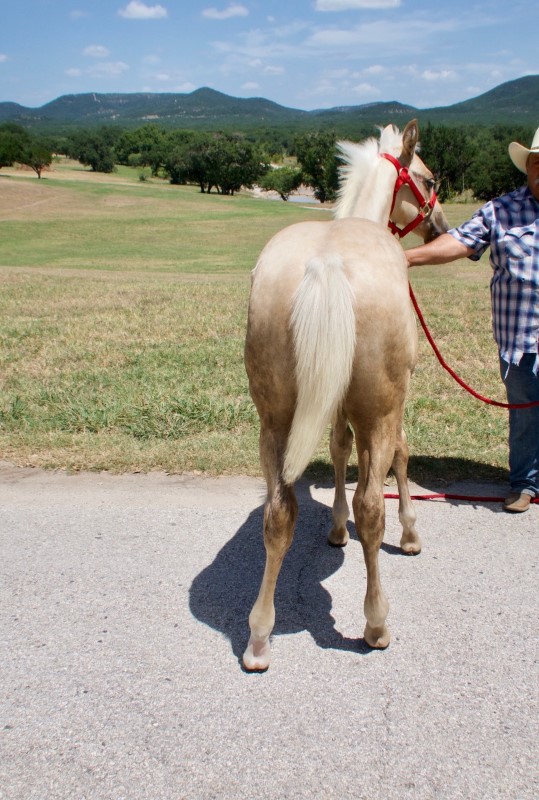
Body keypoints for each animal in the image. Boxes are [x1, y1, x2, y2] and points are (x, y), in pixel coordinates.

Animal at [243, 120, 450, 668]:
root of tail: (327, 262)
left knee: (279, 513)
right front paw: (411, 531)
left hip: (274, 421)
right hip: (379, 410)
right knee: (371, 508)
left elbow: (338, 450)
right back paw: (376, 623)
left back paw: (258, 636)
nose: (441, 226)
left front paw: (335, 529)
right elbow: (399, 456)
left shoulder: (332, 405)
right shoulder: (391, 407)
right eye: (428, 177)